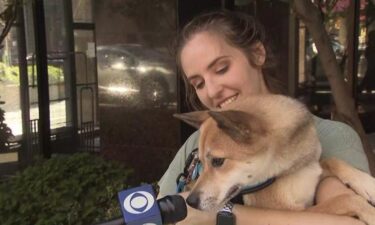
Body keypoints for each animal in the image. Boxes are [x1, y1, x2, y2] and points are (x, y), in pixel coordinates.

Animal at [175, 94, 375, 225]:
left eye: (217, 161)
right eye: (200, 162)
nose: (190, 202)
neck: (287, 171)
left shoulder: (312, 170)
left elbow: (332, 160)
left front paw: (367, 183)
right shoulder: (293, 212)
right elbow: (345, 199)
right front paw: (371, 213)